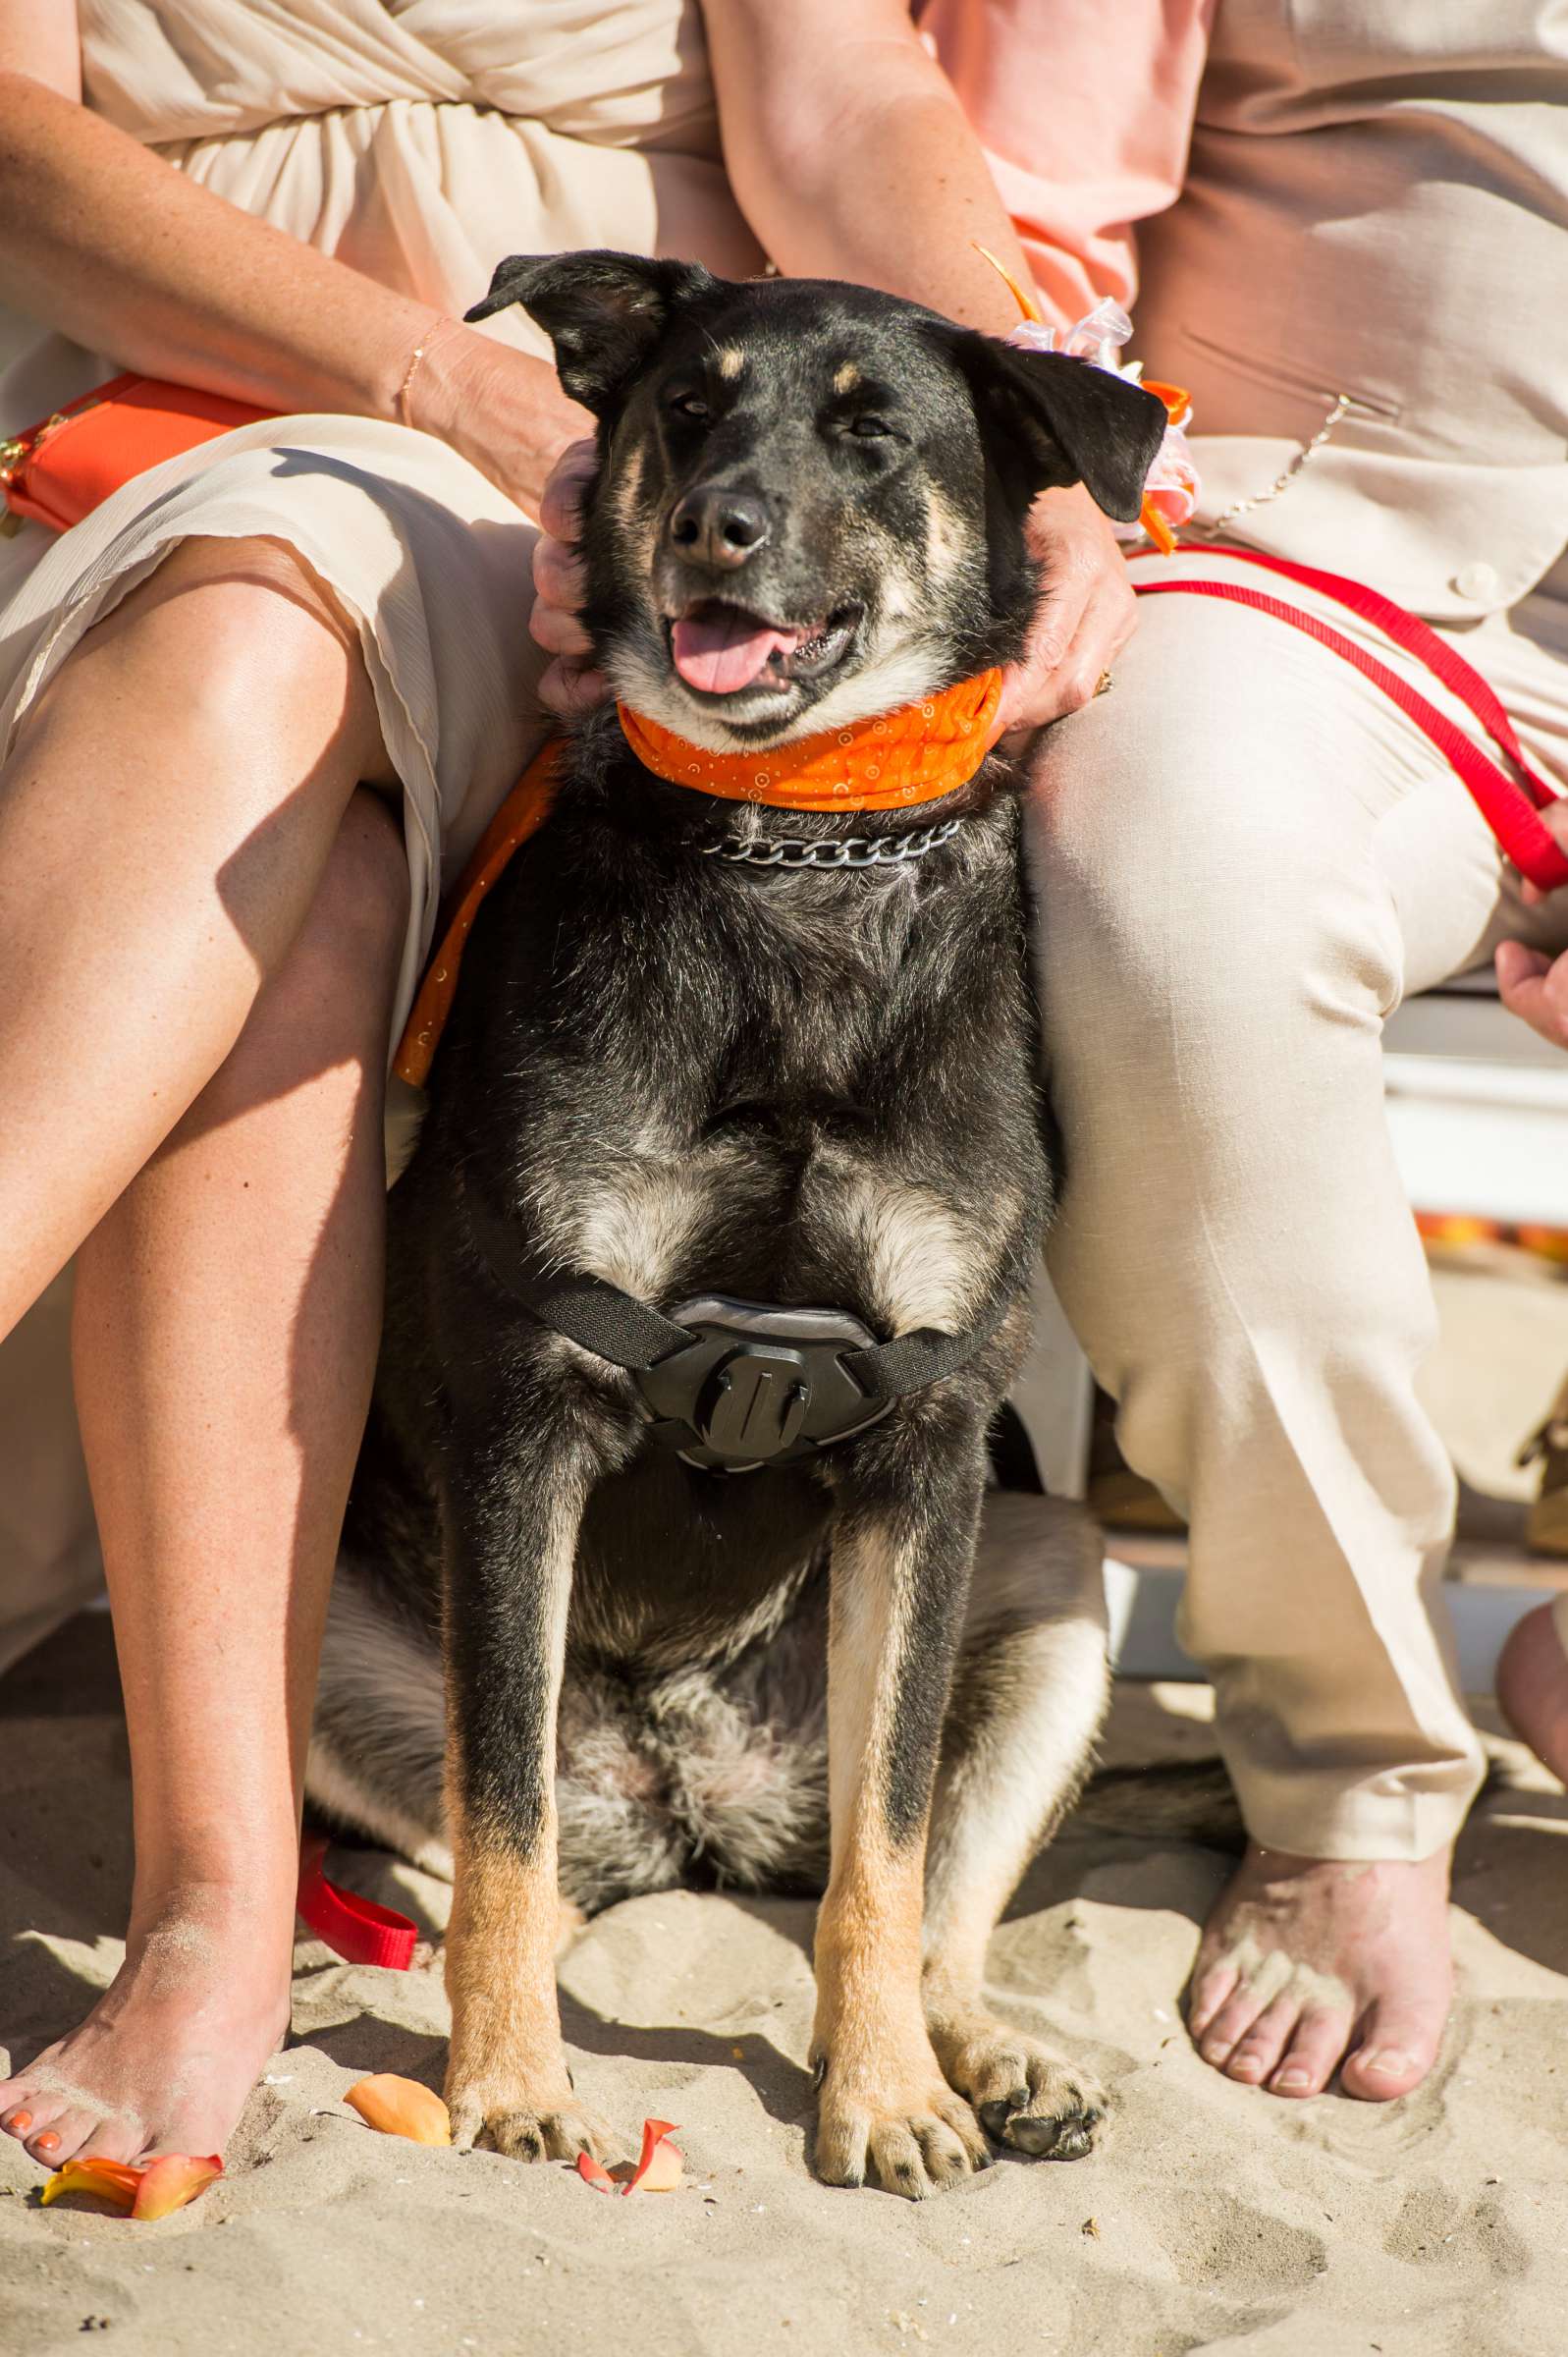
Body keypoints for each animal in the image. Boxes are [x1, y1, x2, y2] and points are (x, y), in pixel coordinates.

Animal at [308, 253, 1160, 2187]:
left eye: (873, 431)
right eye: (688, 409)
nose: (718, 526)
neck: (793, 857)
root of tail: (699, 1798)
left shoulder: (927, 1445)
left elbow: (886, 1866)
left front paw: (886, 2100)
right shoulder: (530, 1414)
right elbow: (499, 1823)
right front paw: (513, 2082)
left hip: (1052, 1571)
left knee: (917, 1890)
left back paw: (987, 2055)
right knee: (509, 1853)